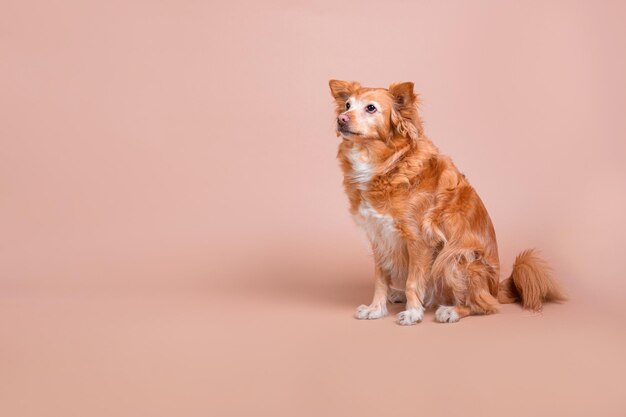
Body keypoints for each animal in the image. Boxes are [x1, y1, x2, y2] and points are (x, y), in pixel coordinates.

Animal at [330, 79, 564, 324]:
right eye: (347, 105)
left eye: (371, 108)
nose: (341, 119)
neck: (387, 165)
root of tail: (494, 288)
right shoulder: (379, 237)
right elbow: (380, 280)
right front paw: (376, 309)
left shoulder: (419, 239)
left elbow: (413, 281)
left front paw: (413, 313)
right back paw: (401, 295)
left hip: (455, 257)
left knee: (484, 305)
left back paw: (452, 310)